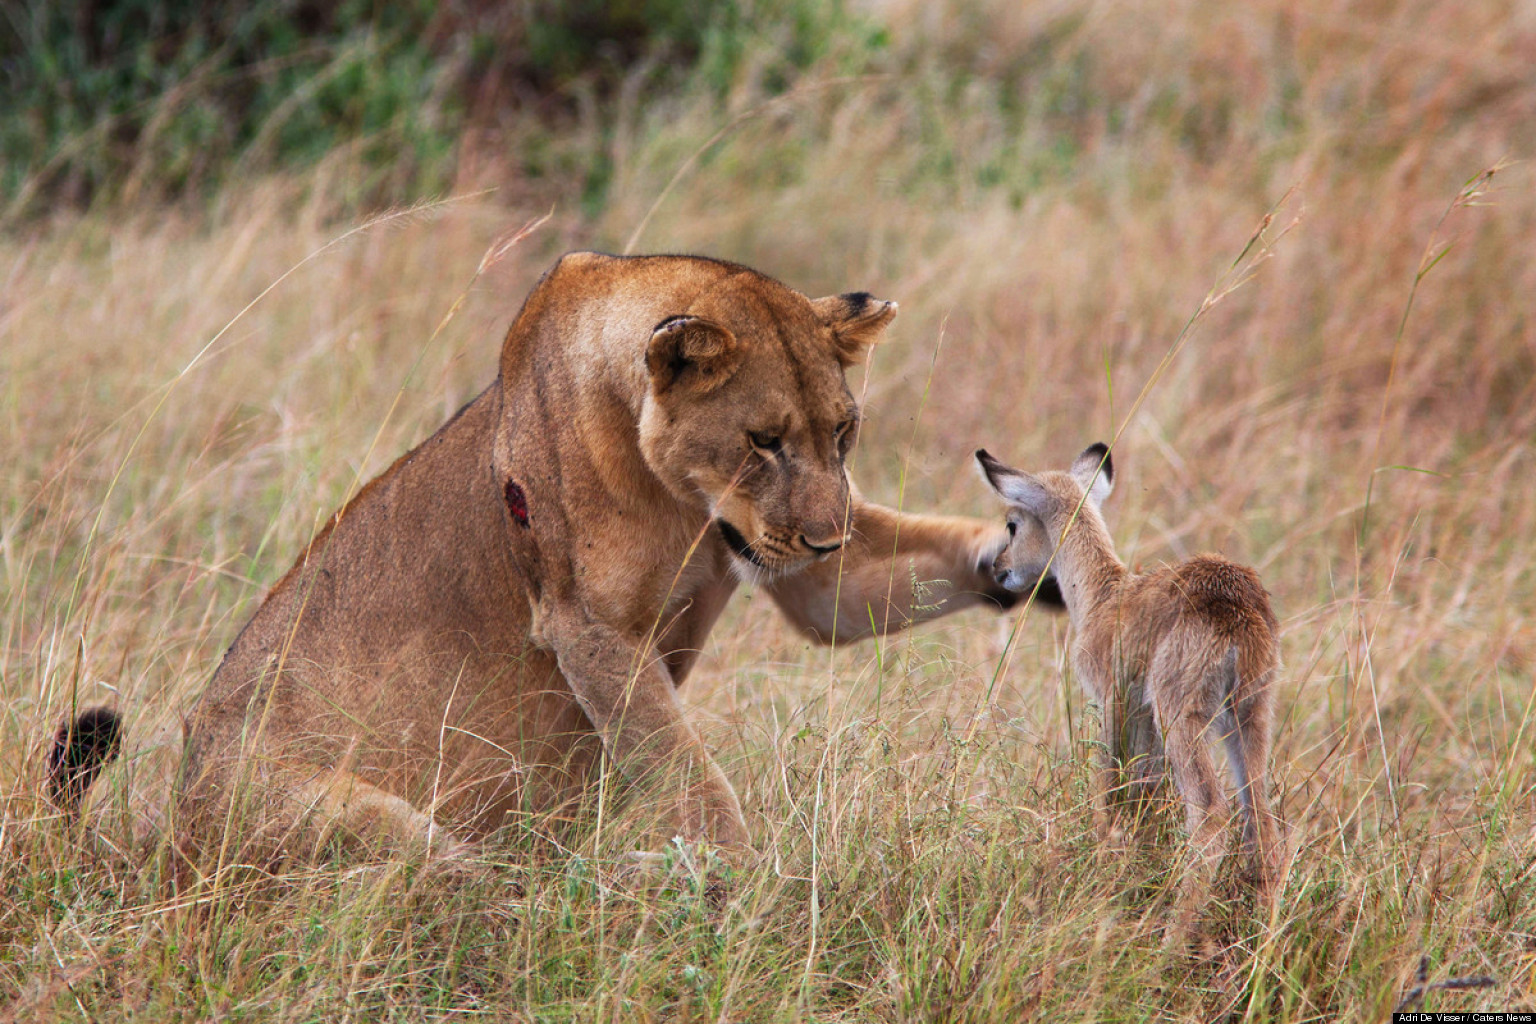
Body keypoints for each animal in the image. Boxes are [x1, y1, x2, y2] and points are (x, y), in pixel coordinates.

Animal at [976, 445, 1277, 908]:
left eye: (1013, 523)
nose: (998, 567)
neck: (1102, 595)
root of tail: (1238, 609)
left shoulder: (1113, 702)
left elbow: (1110, 790)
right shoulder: (1145, 721)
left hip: (1184, 719)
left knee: (1210, 815)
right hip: (1250, 716)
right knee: (1263, 824)